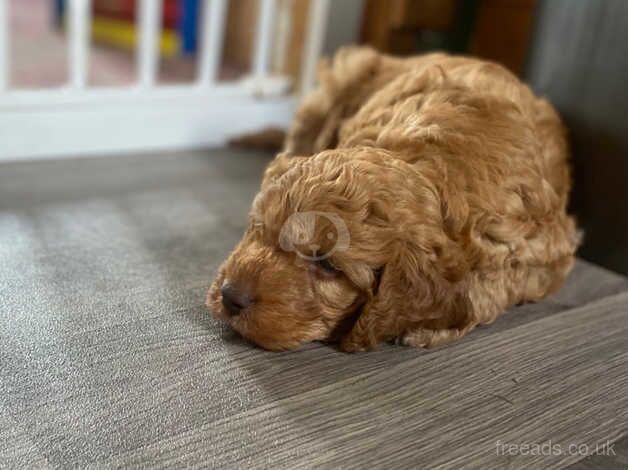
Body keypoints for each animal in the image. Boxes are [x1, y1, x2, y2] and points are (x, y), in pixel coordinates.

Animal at [207, 46, 580, 350]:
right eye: (258, 227)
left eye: (327, 264)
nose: (230, 296)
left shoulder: (548, 250)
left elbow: (493, 289)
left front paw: (434, 324)